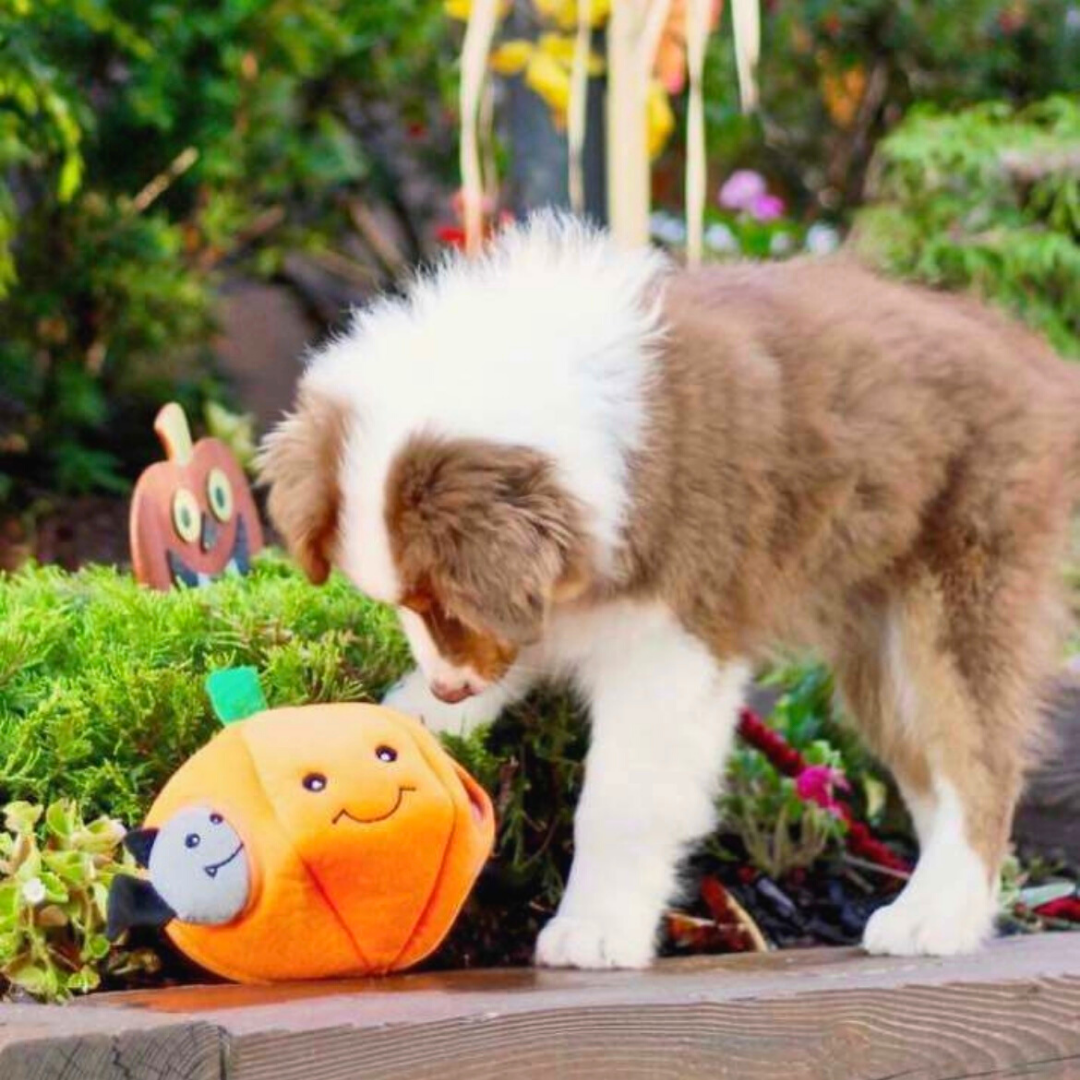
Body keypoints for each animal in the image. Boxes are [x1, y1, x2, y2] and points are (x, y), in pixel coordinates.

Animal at [259, 212, 1080, 972]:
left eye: (445, 603)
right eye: (402, 603)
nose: (451, 689)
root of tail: (1035, 361)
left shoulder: (668, 645)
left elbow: (621, 800)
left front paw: (595, 930)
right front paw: (408, 724)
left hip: (955, 596)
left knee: (977, 761)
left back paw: (938, 914)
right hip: (878, 636)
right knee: (927, 767)